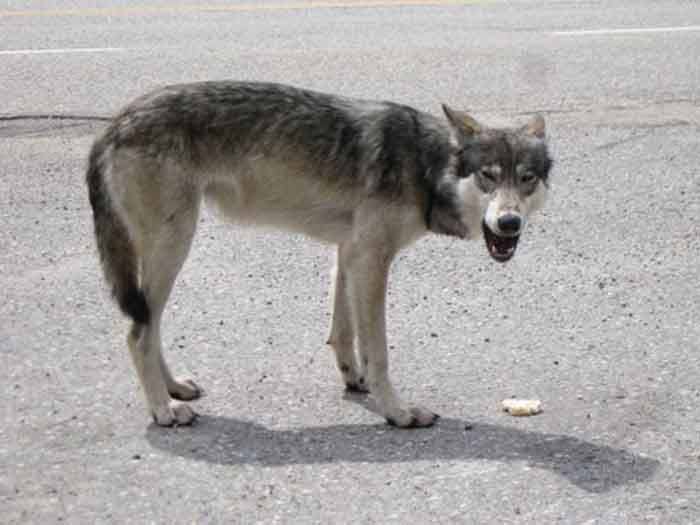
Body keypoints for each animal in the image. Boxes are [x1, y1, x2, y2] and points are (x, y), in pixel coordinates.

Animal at [86, 81, 552, 426]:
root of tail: (114, 123)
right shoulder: (372, 258)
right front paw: (398, 412)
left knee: (150, 325)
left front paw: (355, 381)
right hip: (174, 244)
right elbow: (378, 349)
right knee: (138, 332)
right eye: (488, 176)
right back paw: (164, 410)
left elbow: (343, 333)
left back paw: (174, 389)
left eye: (527, 178)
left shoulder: (350, 251)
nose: (509, 223)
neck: (424, 166)